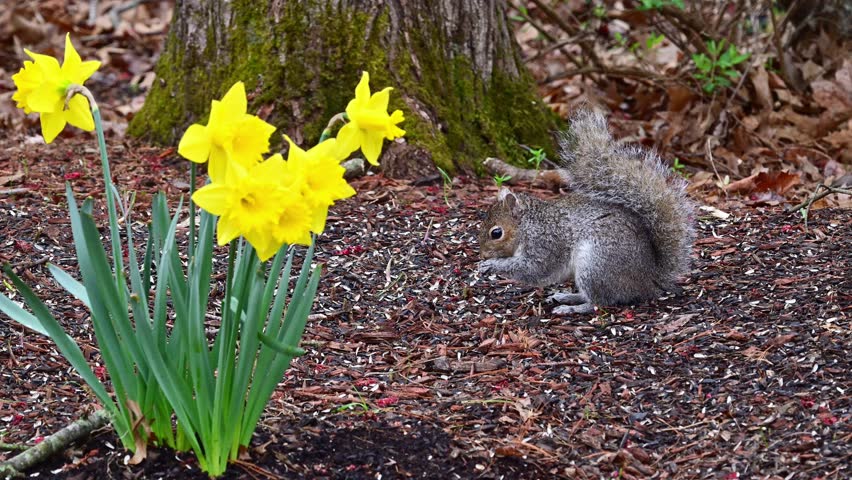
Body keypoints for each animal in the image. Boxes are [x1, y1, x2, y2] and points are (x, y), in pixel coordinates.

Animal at [478, 109, 695, 315]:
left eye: (496, 233)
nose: (482, 255)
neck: (528, 224)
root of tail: (649, 279)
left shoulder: (545, 242)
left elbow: (533, 269)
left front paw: (492, 265)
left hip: (595, 265)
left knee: (599, 302)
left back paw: (571, 308)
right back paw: (566, 296)